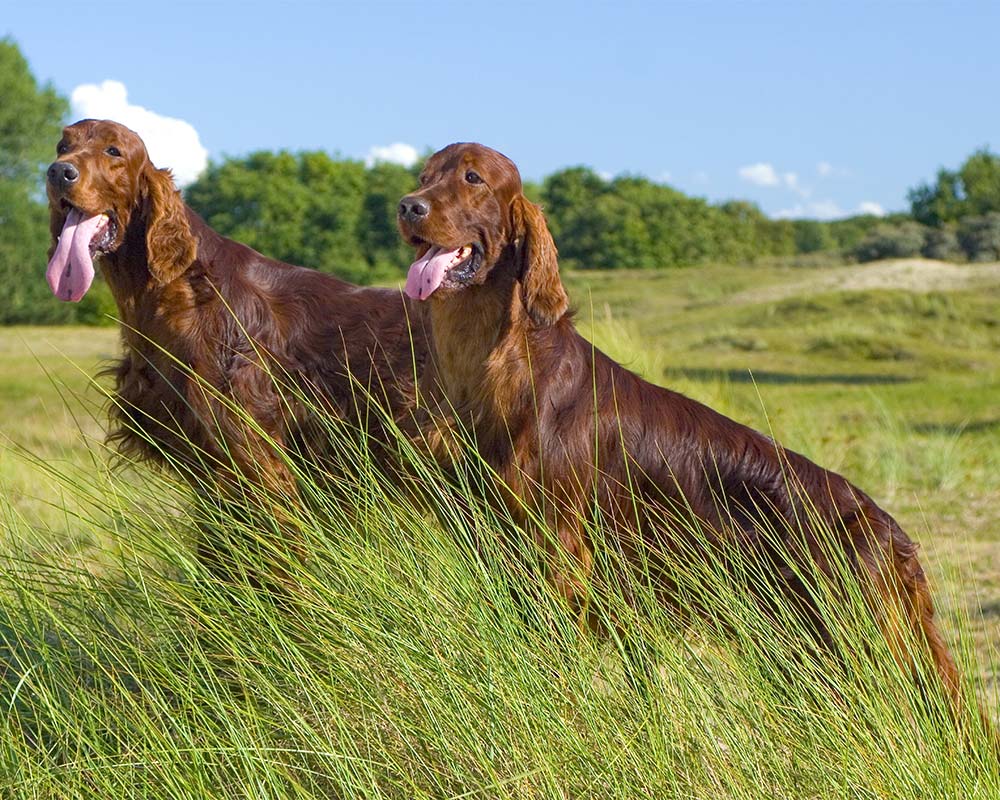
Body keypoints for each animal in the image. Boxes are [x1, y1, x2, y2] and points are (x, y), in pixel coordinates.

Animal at [398, 144, 968, 712]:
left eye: (473, 178)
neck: (506, 363)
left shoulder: (558, 548)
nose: (408, 206)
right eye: (425, 175)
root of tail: (891, 531)